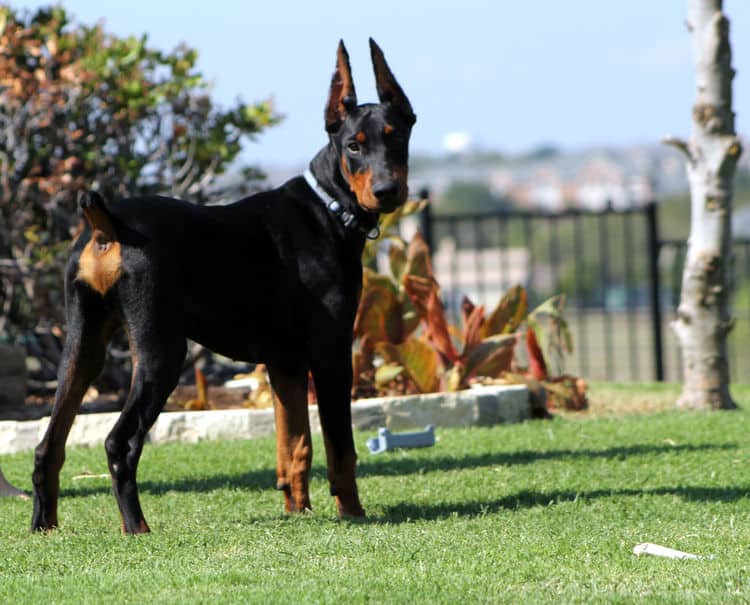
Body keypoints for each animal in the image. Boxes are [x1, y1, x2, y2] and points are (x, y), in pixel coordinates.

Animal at [30, 39, 418, 532]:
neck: (329, 206)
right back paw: (136, 528)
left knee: (48, 445)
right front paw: (352, 513)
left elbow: (294, 446)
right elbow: (340, 449)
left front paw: (298, 512)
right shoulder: (330, 353)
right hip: (161, 352)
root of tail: (108, 225)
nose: (388, 191)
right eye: (354, 145)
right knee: (120, 443)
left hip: (83, 345)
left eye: (397, 136)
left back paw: (43, 528)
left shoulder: (285, 363)